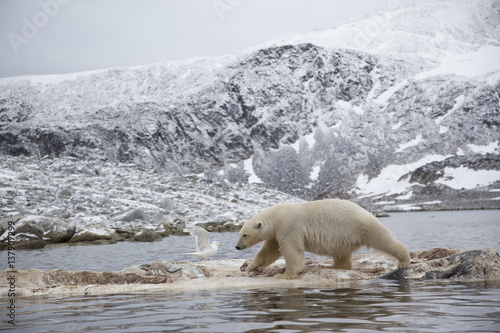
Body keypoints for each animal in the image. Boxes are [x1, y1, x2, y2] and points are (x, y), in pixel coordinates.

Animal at [234, 198, 410, 278]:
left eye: (245, 234)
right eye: (239, 234)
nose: (237, 247)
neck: (277, 216)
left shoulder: (289, 227)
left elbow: (292, 250)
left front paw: (285, 274)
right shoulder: (277, 233)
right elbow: (269, 250)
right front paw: (252, 267)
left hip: (362, 226)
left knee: (383, 239)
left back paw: (404, 260)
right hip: (345, 238)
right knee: (341, 254)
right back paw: (333, 266)